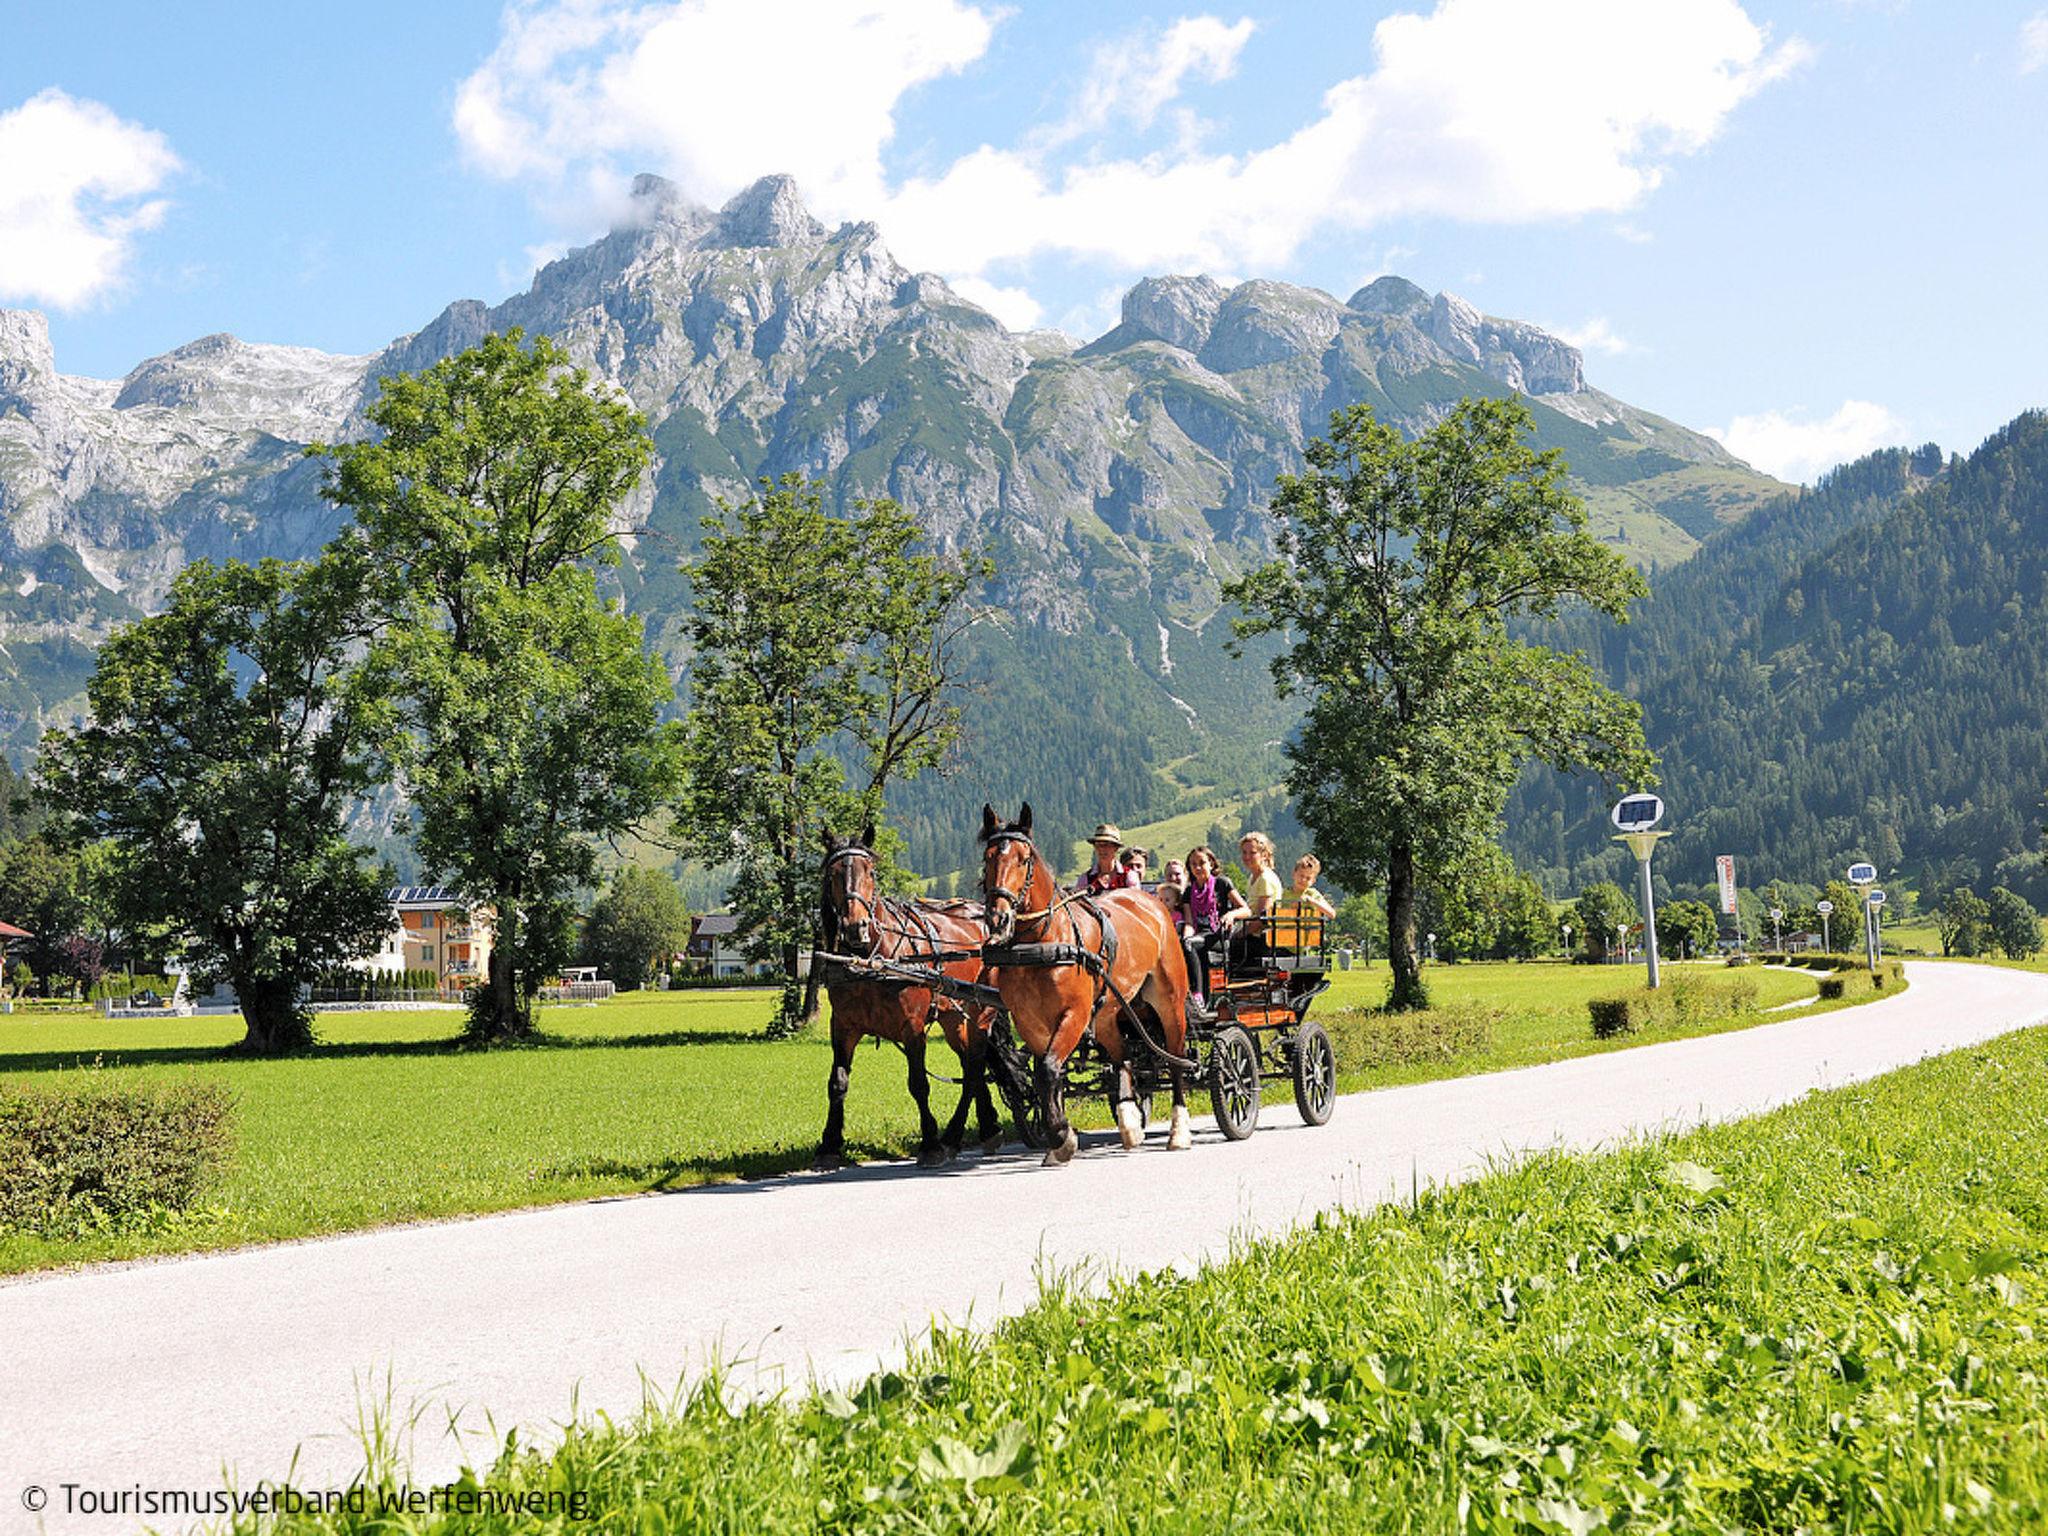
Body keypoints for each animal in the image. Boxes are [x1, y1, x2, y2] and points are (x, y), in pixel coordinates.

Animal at [815, 835, 1007, 1171]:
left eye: (871, 872)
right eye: (833, 874)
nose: (855, 926)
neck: (872, 961)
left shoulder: (912, 1027)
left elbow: (919, 1084)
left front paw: (930, 1144)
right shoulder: (842, 1026)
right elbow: (837, 1083)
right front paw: (829, 1144)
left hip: (981, 1013)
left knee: (974, 1067)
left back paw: (953, 1136)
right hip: (954, 1018)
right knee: (971, 1064)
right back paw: (987, 1128)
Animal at [978, 806, 1196, 1163]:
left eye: (1024, 859)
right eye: (988, 858)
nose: (998, 919)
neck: (1043, 942)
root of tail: (1151, 902)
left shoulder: (1074, 1014)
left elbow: (1048, 1071)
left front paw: (1060, 1135)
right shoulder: (1030, 1022)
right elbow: (1050, 1076)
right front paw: (1060, 1140)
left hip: (1169, 1002)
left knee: (1175, 1058)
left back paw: (1179, 1131)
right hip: (1108, 1014)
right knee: (1123, 1057)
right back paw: (1130, 1125)